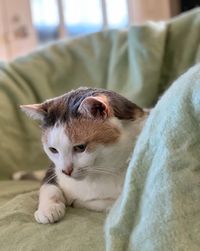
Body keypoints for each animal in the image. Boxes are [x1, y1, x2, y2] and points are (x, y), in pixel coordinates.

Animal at [20, 87, 148, 224]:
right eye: (53, 150)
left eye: (80, 147)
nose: (66, 171)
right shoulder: (53, 171)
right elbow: (48, 187)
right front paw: (49, 209)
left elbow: (109, 204)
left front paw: (77, 202)